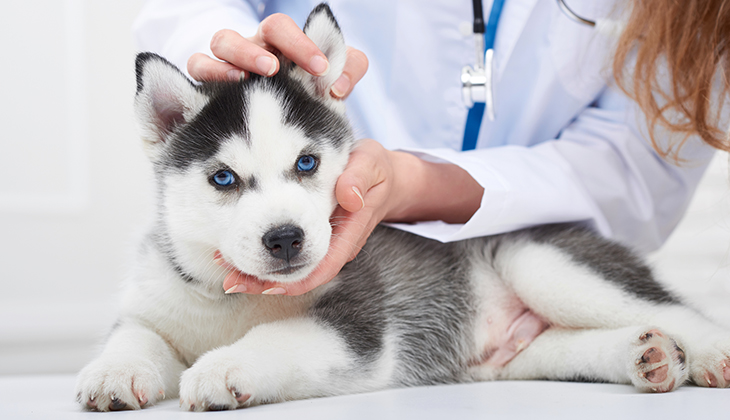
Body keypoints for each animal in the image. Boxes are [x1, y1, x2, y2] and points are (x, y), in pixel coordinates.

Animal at [77, 2, 728, 410]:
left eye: (307, 164)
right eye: (223, 177)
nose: (285, 238)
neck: (230, 301)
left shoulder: (361, 325)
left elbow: (277, 339)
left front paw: (222, 366)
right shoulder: (154, 303)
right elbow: (135, 336)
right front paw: (113, 371)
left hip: (540, 260)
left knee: (674, 311)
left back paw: (707, 353)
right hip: (520, 355)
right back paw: (648, 356)